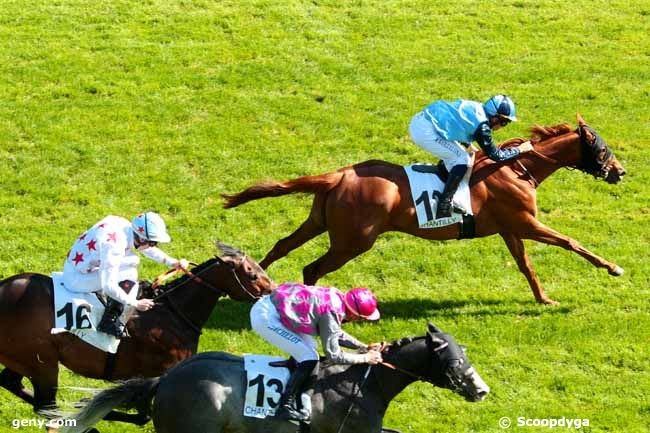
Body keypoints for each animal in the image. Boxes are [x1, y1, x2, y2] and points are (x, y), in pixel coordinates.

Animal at [0, 242, 275, 425]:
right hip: (43, 364)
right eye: (252, 274)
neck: (172, 313)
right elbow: (143, 414)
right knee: (45, 405)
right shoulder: (159, 373)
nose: (273, 290)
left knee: (17, 386)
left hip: (26, 359)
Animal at [222, 115, 626, 305]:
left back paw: (253, 283)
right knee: (312, 268)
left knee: (282, 246)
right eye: (602, 148)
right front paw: (613, 267)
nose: (620, 171)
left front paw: (543, 298)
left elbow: (525, 266)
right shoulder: (526, 223)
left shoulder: (510, 228)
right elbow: (571, 242)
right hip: (353, 241)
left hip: (320, 222)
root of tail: (340, 174)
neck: (516, 169)